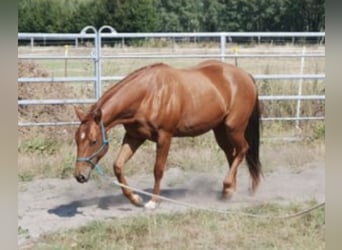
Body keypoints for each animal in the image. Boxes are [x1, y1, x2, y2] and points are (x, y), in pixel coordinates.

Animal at [74, 59, 262, 209]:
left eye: (93, 141)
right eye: (77, 141)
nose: (79, 176)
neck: (147, 94)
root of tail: (246, 76)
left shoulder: (164, 136)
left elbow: (158, 169)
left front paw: (153, 201)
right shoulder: (135, 137)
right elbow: (118, 166)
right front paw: (135, 199)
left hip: (234, 128)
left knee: (243, 149)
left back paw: (228, 186)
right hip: (220, 130)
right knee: (232, 155)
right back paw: (229, 191)